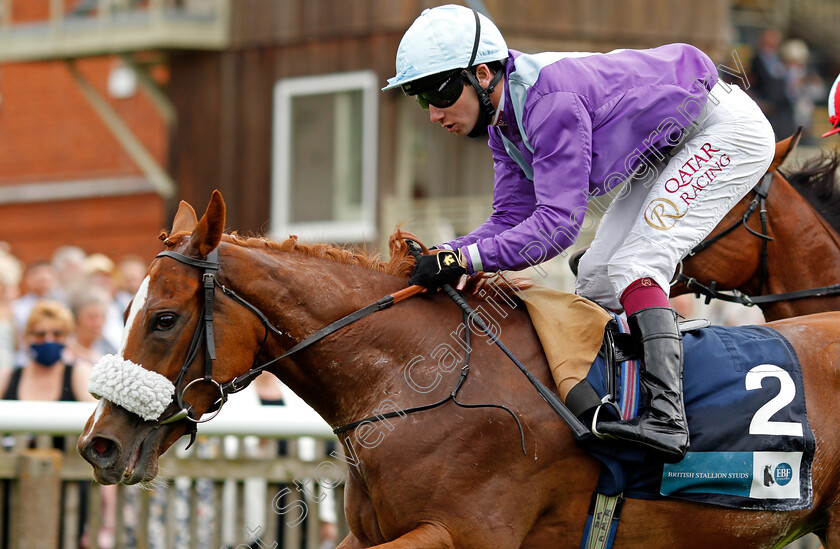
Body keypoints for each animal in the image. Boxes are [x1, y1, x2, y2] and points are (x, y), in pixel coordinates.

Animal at [75, 192, 840, 544]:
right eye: (129, 308)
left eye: (162, 318)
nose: (98, 443)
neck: (414, 380)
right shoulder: (373, 531)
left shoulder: (467, 533)